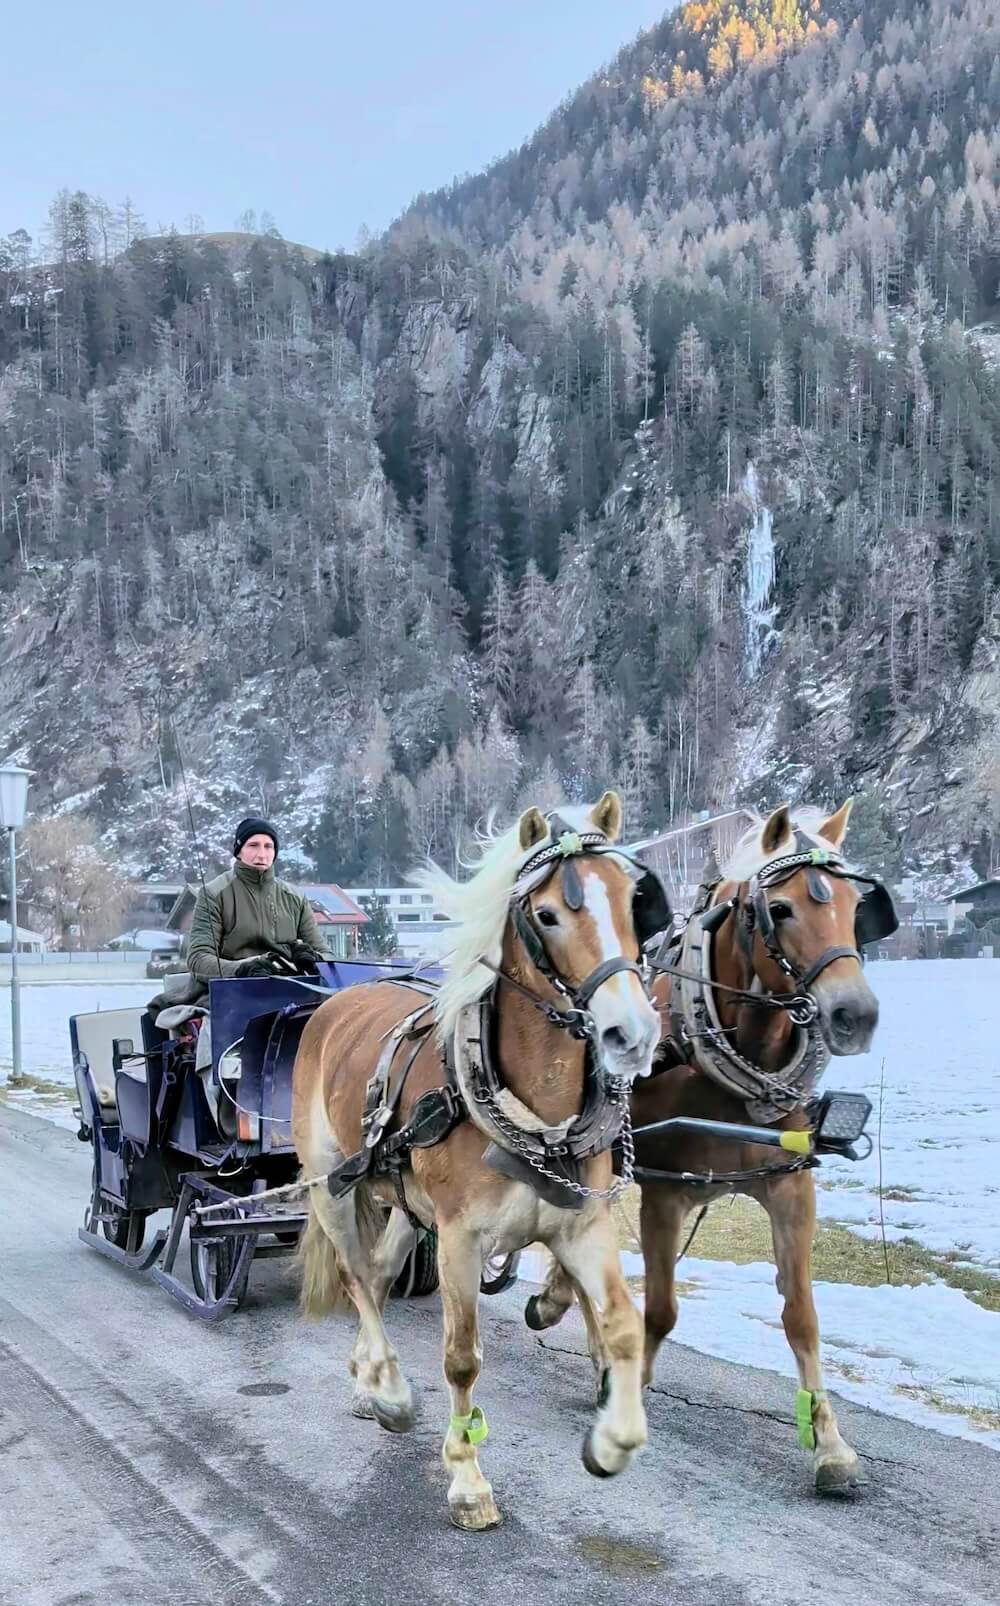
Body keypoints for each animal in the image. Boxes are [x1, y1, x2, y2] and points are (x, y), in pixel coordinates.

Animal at [291, 791, 668, 1531]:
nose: (631, 1034)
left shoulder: (580, 1228)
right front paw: (466, 1478)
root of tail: (337, 1000)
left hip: (404, 1203)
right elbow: (461, 1359)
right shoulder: (462, 1240)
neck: (536, 1119)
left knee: (379, 1274)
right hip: (332, 1185)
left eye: (632, 901)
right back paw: (391, 1390)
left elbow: (621, 1326)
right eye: (547, 915)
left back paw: (368, 1381)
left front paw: (614, 1441)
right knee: (356, 1278)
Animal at [525, 800, 893, 1496]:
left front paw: (830, 1447)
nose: (854, 1015)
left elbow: (802, 1317)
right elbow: (662, 1311)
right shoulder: (666, 1192)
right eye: (781, 909)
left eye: (857, 905)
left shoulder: (789, 1185)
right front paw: (628, 1393)